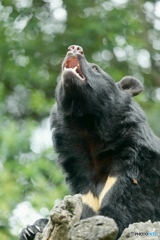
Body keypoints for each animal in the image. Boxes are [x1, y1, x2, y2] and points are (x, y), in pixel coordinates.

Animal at [19, 45, 160, 240]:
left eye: (95, 68)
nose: (74, 48)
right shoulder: (82, 187)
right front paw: (32, 229)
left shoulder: (138, 171)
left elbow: (124, 213)